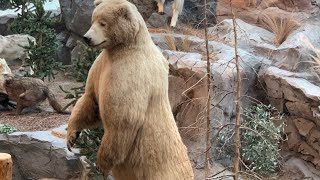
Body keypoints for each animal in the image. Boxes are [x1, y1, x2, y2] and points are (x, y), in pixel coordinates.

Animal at [66, 0, 194, 179]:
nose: (87, 37)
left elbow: (123, 118)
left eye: (103, 23)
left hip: (161, 169)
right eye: (93, 19)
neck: (124, 46)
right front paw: (71, 136)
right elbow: (90, 99)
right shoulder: (101, 66)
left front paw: (102, 164)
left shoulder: (130, 71)